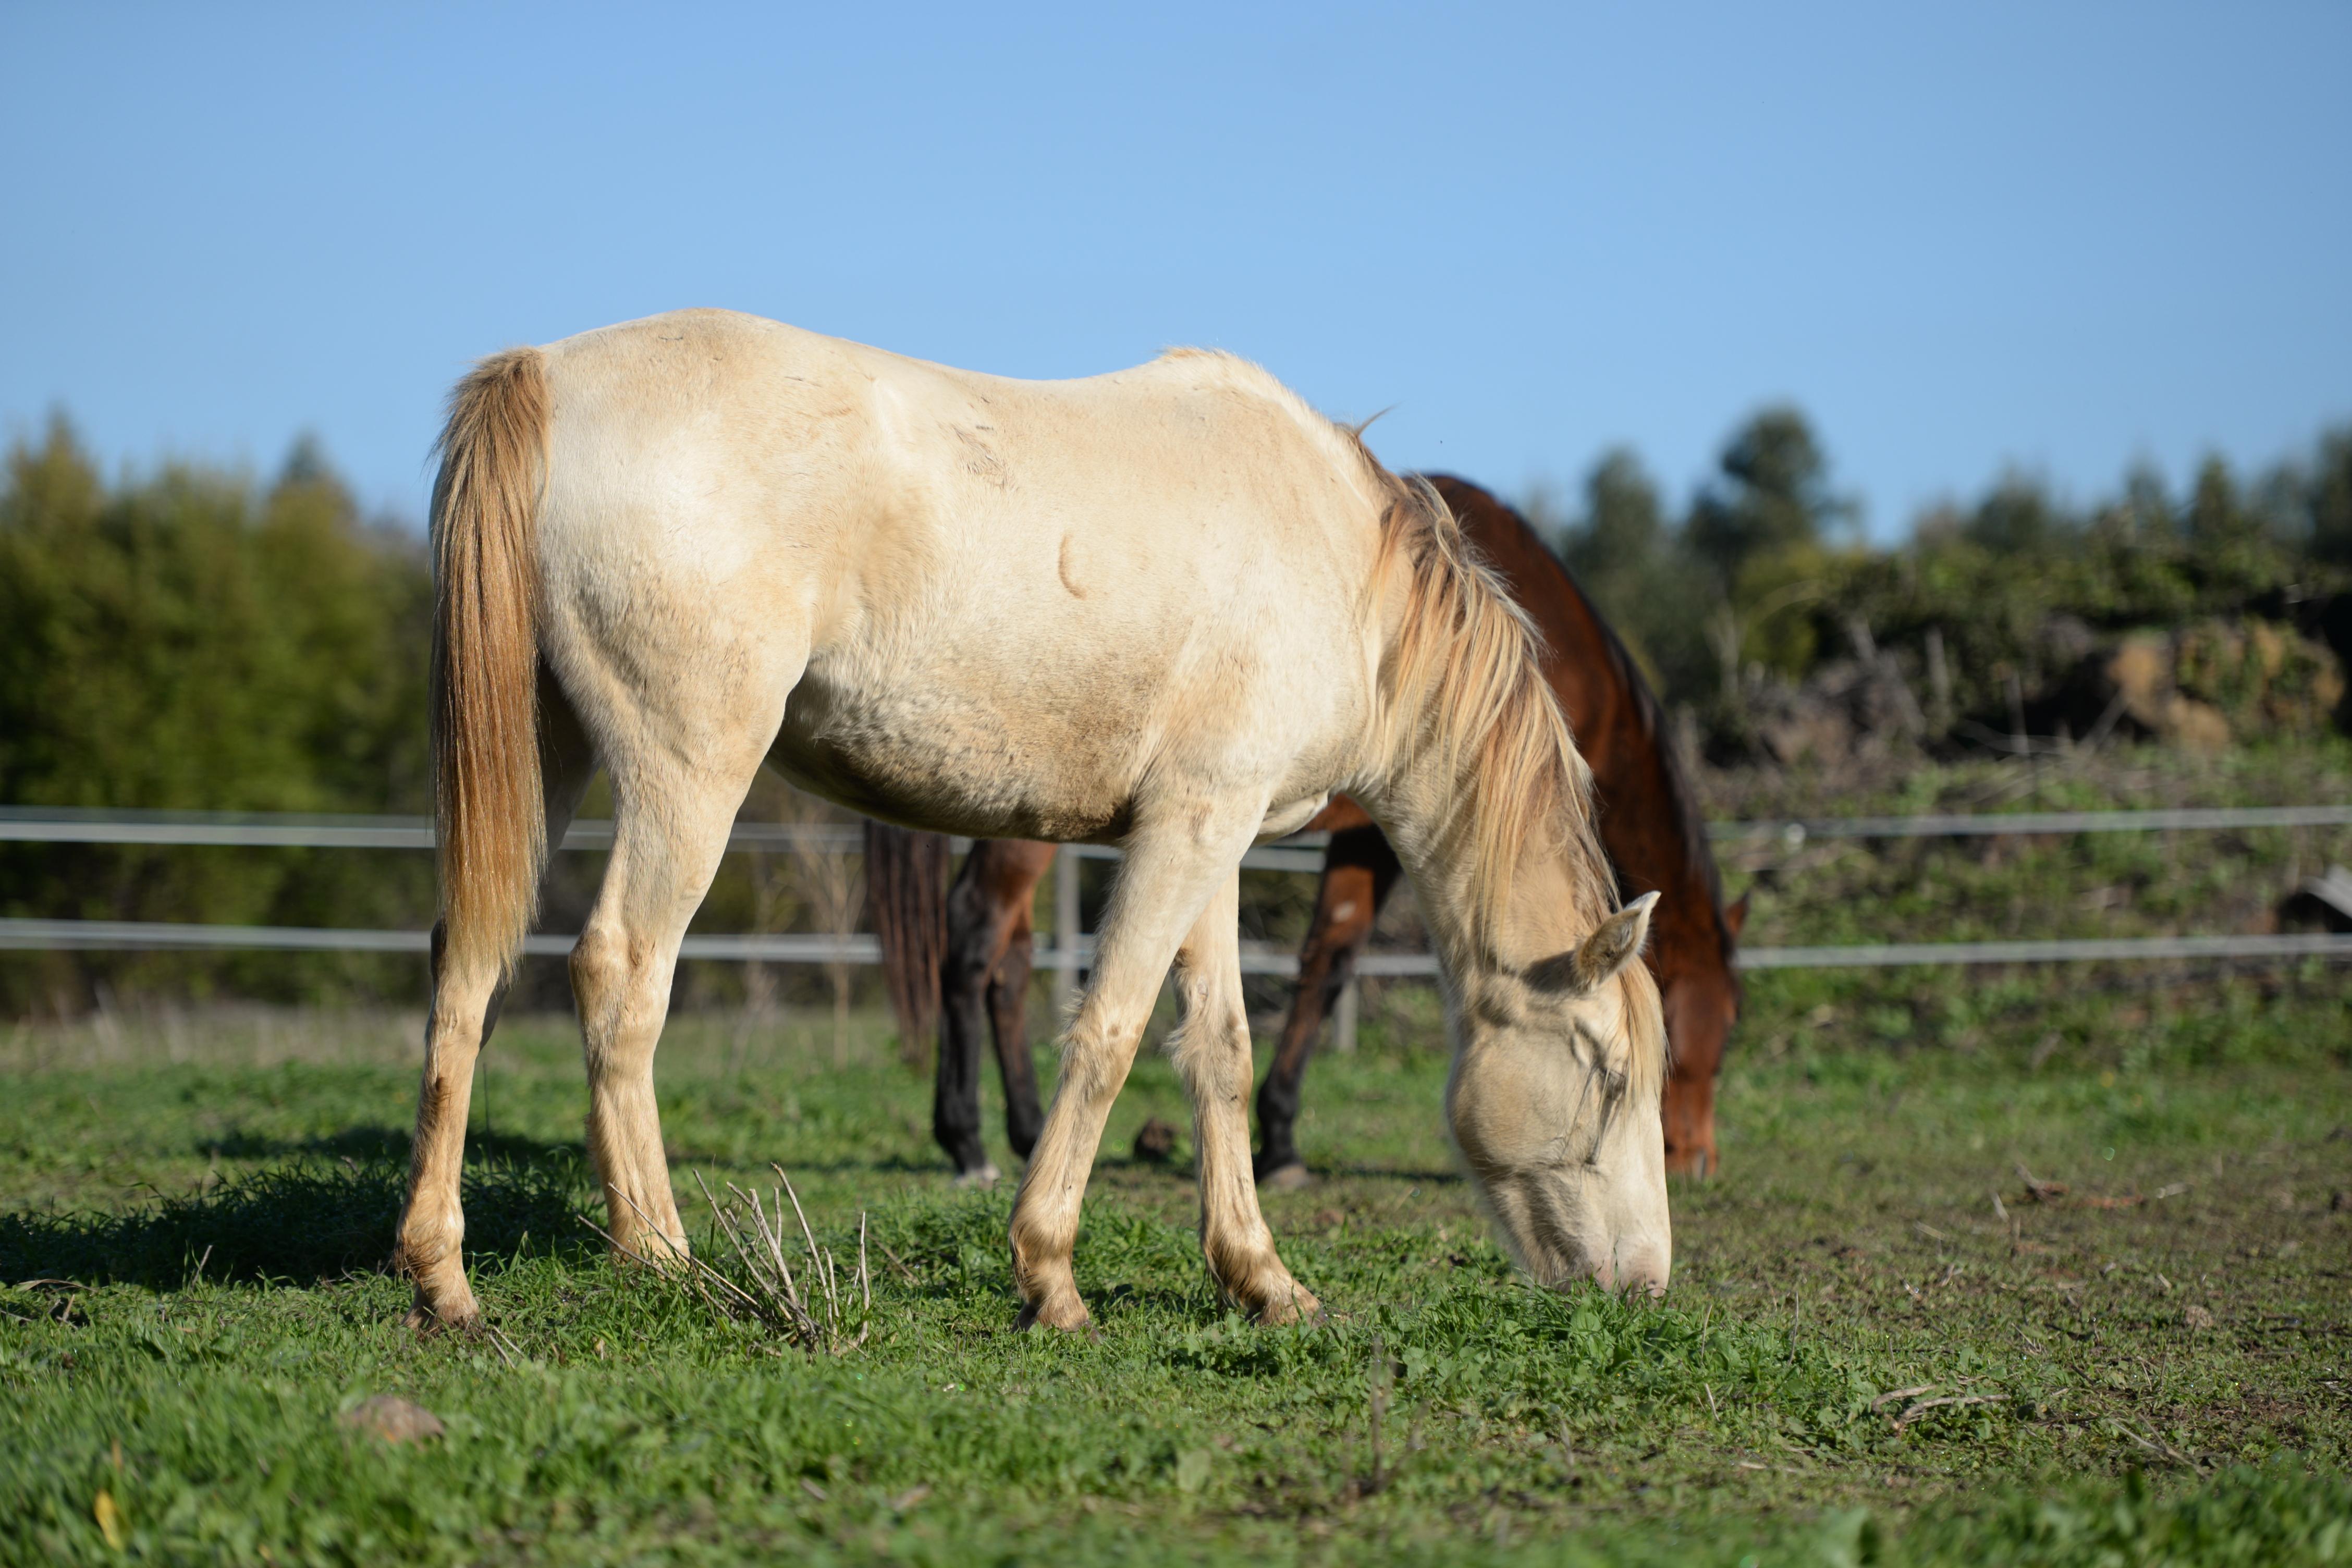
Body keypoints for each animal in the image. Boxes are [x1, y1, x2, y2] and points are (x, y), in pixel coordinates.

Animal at [870, 472, 1749, 1184]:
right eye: (1703, 1028)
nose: (1697, 1158)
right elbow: (1330, 966)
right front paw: (1281, 1141)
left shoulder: (1363, 837)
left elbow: (1328, 955)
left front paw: (1280, 1138)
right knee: (976, 935)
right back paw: (968, 1144)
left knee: (1009, 961)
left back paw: (1019, 1131)